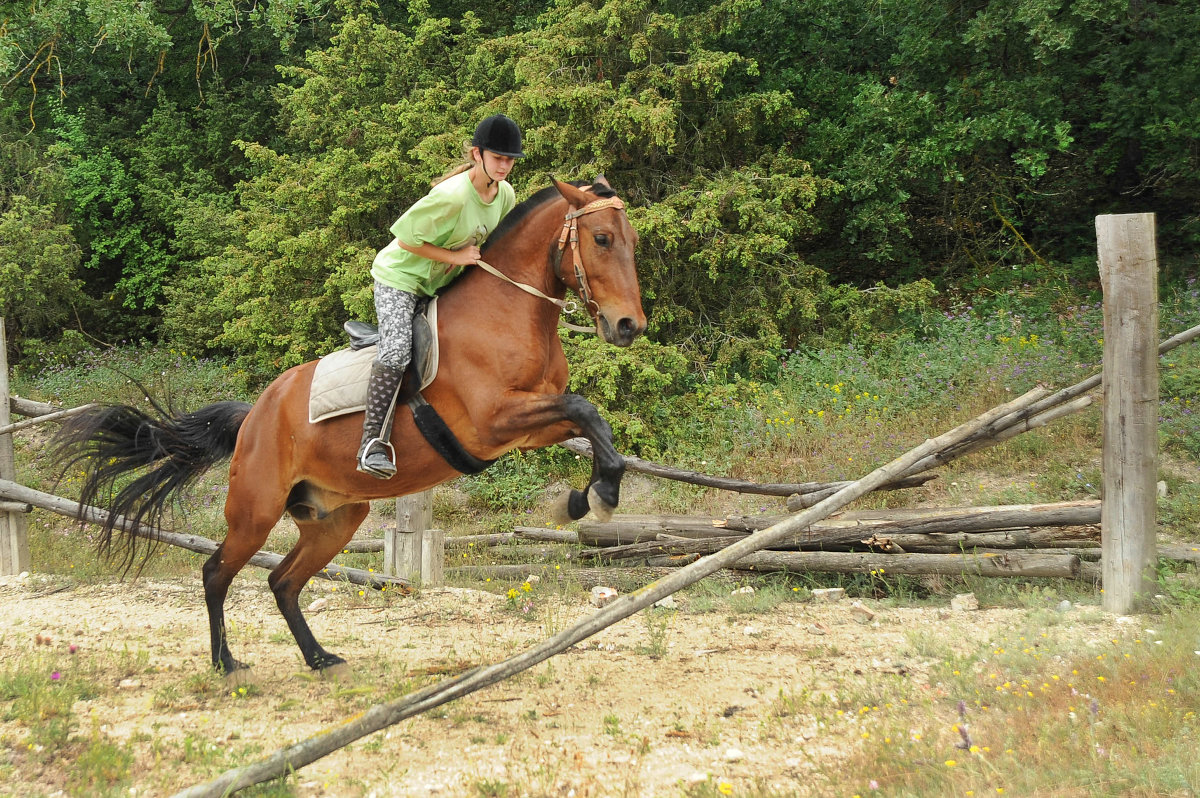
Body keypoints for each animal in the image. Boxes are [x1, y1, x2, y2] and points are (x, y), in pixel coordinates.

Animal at [54, 176, 648, 676]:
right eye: (600, 239)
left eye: (631, 240)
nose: (629, 326)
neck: (508, 311)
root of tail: (253, 416)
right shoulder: (493, 420)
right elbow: (585, 410)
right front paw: (597, 498)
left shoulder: (527, 427)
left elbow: (593, 424)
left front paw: (588, 497)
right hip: (255, 510)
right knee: (217, 573)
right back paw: (226, 663)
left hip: (335, 517)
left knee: (283, 581)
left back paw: (319, 657)